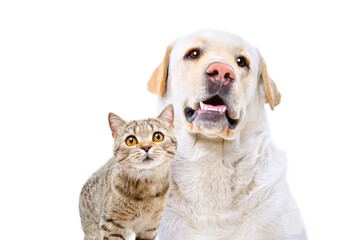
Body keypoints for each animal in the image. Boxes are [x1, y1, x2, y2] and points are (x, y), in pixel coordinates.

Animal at [80, 105, 179, 240]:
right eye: (130, 140)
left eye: (158, 136)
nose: (146, 147)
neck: (146, 188)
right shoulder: (111, 224)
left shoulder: (150, 226)